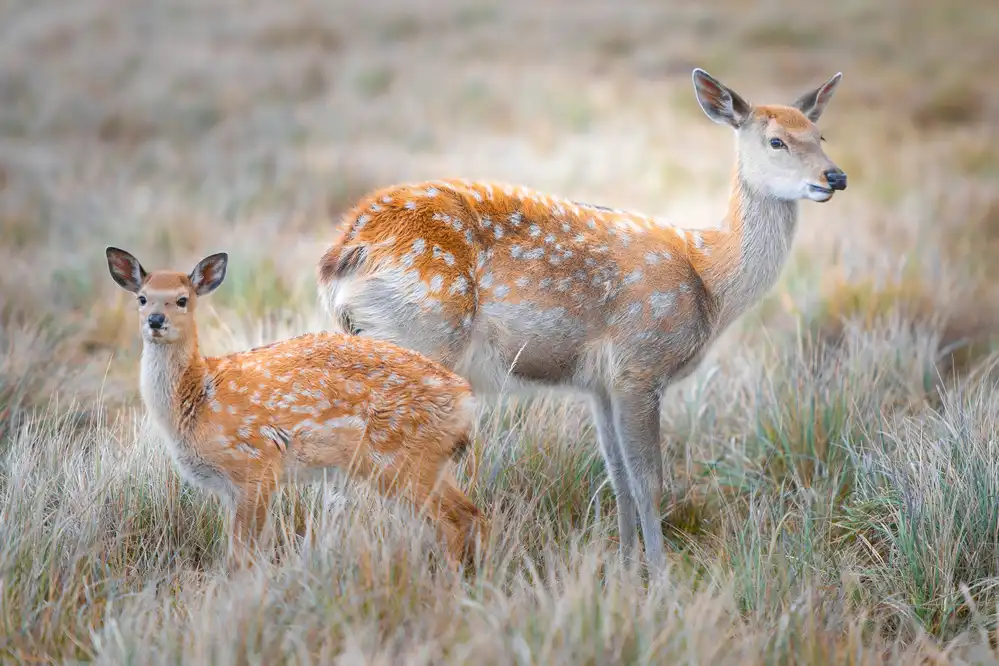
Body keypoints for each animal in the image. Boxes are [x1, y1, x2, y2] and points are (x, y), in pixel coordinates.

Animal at [105, 246, 487, 571]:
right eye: (142, 298)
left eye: (182, 300)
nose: (156, 320)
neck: (199, 396)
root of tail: (465, 400)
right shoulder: (231, 488)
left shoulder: (256, 465)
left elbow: (242, 554)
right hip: (426, 462)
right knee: (469, 512)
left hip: (403, 458)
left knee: (455, 519)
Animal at [314, 68, 848, 575]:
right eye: (776, 140)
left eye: (820, 135)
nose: (835, 177)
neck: (710, 279)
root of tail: (347, 251)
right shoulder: (640, 362)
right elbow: (649, 481)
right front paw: (661, 579)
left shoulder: (600, 383)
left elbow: (619, 479)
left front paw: (627, 569)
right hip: (421, 336)